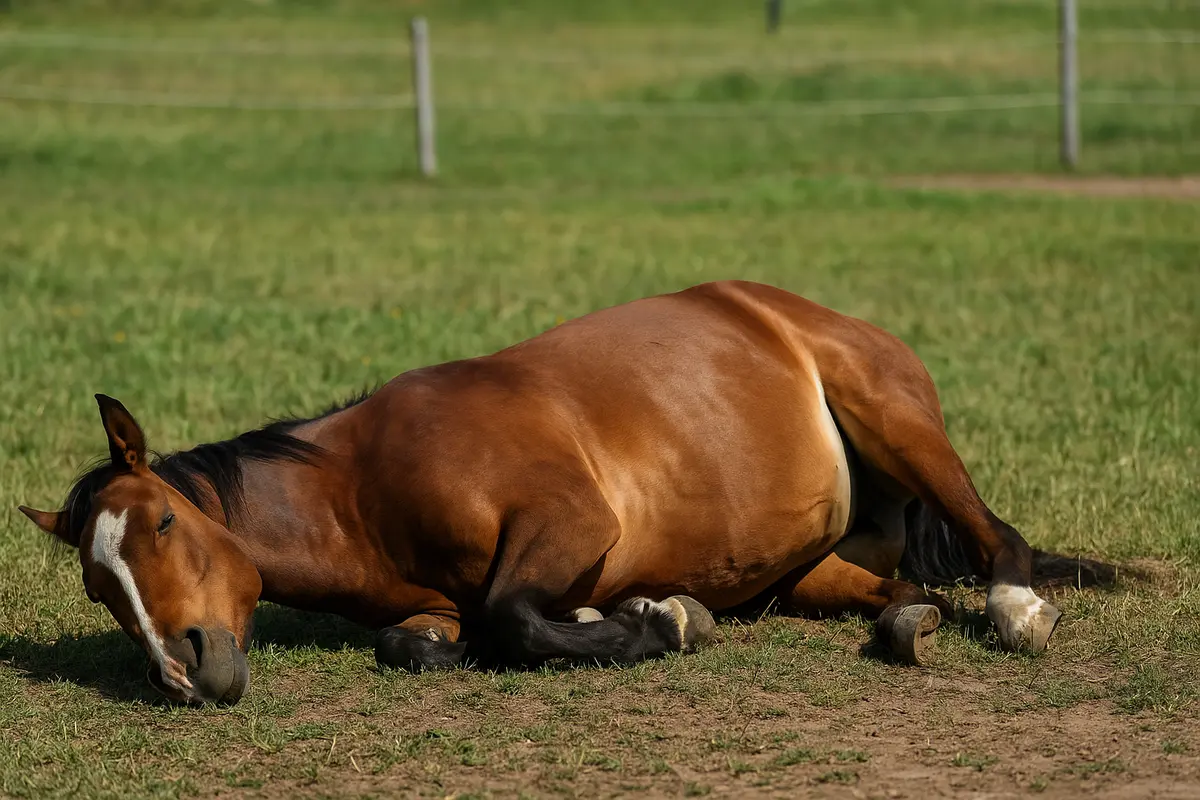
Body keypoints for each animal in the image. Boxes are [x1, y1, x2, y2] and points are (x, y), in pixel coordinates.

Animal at [20, 280, 1068, 706]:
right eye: (99, 587)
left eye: (164, 519)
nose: (186, 672)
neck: (361, 489)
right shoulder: (429, 606)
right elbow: (421, 644)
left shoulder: (569, 521)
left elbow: (513, 618)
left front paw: (663, 621)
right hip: (816, 567)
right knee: (911, 592)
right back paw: (905, 625)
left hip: (898, 422)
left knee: (992, 534)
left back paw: (1017, 606)